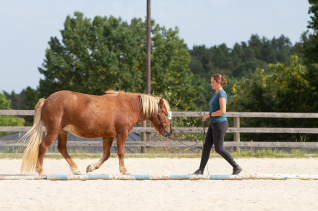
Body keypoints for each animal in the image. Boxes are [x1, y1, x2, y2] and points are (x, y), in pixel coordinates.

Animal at [19, 90, 173, 176]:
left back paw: (76, 170)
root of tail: (46, 100)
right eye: (165, 113)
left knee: (62, 149)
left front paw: (91, 167)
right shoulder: (121, 134)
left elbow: (106, 155)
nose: (169, 131)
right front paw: (124, 170)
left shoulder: (108, 136)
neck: (127, 106)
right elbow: (120, 153)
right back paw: (40, 171)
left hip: (62, 132)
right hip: (54, 130)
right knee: (43, 147)